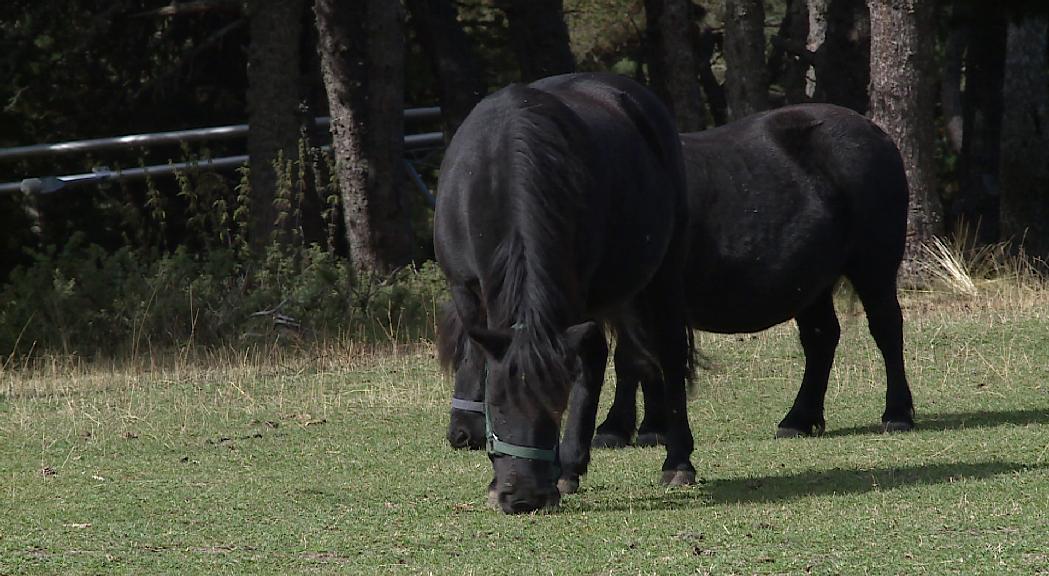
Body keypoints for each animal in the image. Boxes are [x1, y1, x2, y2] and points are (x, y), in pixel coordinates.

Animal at [434, 71, 696, 511]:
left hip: (664, 274)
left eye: (554, 404)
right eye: (496, 403)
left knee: (667, 354)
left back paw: (676, 461)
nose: (523, 496)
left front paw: (567, 465)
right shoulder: (466, 290)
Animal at [595, 103, 914, 444]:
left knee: (886, 328)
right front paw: (646, 427)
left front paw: (626, 428)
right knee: (821, 338)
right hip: (812, 285)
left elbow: (632, 359)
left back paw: (897, 414)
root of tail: (876, 131)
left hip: (873, 267)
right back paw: (798, 419)